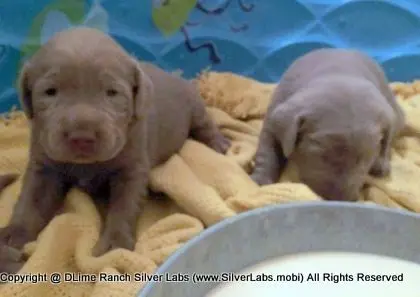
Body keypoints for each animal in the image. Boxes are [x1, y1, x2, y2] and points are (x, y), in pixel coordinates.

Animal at [0, 26, 230, 272]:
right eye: (50, 92)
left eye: (112, 93)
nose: (82, 137)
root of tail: (176, 75)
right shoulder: (44, 164)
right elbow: (31, 200)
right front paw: (13, 235)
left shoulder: (132, 168)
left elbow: (124, 206)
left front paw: (115, 244)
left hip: (195, 107)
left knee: (205, 125)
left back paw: (219, 143)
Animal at [251, 48, 406, 201]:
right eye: (322, 156)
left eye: (363, 160)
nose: (341, 200)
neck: (336, 73)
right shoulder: (272, 121)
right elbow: (267, 152)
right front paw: (260, 179)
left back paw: (380, 165)